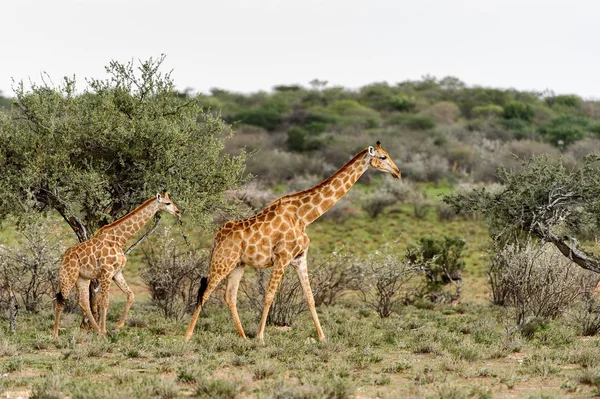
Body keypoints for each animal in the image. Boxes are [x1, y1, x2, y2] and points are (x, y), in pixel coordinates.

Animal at [52, 194, 179, 338]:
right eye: (168, 203)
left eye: (172, 201)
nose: (178, 212)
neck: (119, 239)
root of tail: (64, 256)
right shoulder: (106, 271)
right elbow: (104, 302)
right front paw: (104, 332)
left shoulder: (117, 273)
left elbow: (130, 295)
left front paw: (116, 328)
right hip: (68, 275)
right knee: (60, 300)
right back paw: (55, 334)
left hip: (82, 278)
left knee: (83, 302)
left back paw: (95, 330)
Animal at [185, 141, 400, 344]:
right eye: (383, 157)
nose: (397, 172)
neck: (304, 216)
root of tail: (217, 237)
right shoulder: (282, 257)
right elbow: (269, 296)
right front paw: (260, 338)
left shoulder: (299, 258)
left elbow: (310, 297)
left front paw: (322, 338)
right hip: (223, 261)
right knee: (205, 292)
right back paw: (188, 336)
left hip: (238, 264)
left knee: (230, 297)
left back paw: (243, 337)